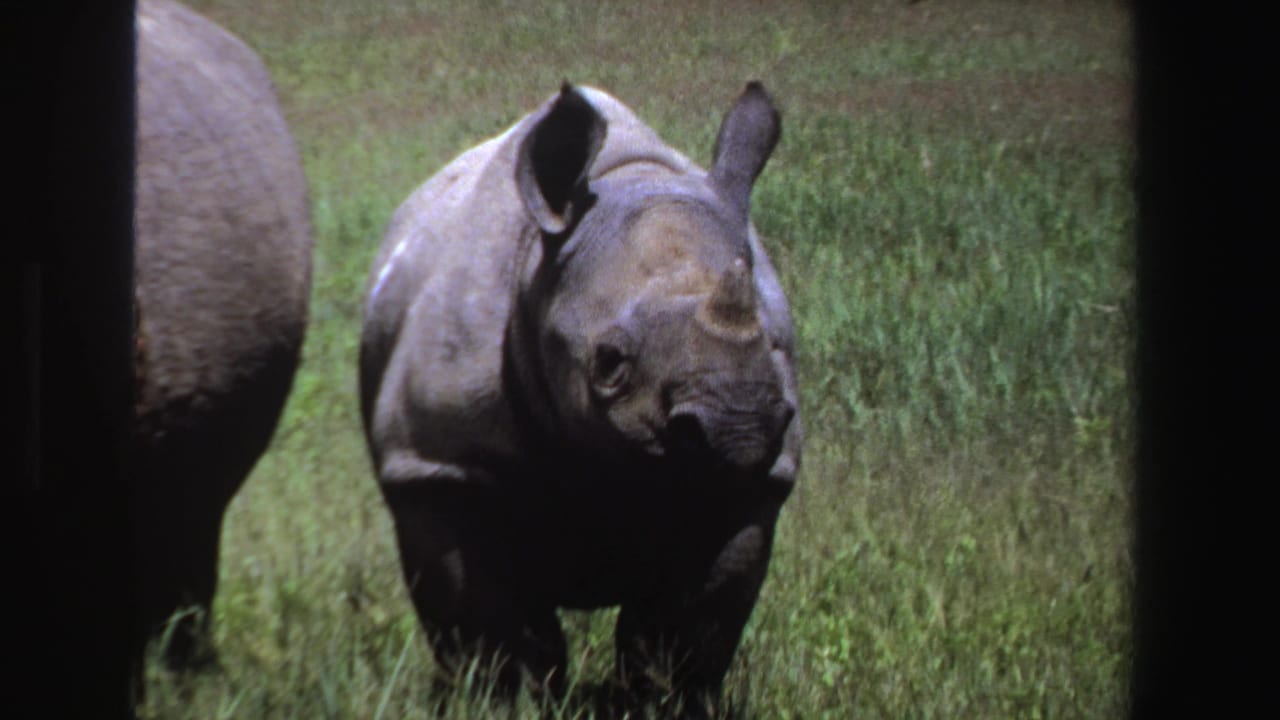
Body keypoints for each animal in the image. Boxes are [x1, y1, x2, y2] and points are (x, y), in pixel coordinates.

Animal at [360, 82, 801, 712]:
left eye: (773, 344)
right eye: (609, 363)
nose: (739, 425)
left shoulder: (749, 484)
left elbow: (684, 634)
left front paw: (661, 704)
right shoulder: (439, 464)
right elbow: (489, 625)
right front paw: (505, 706)